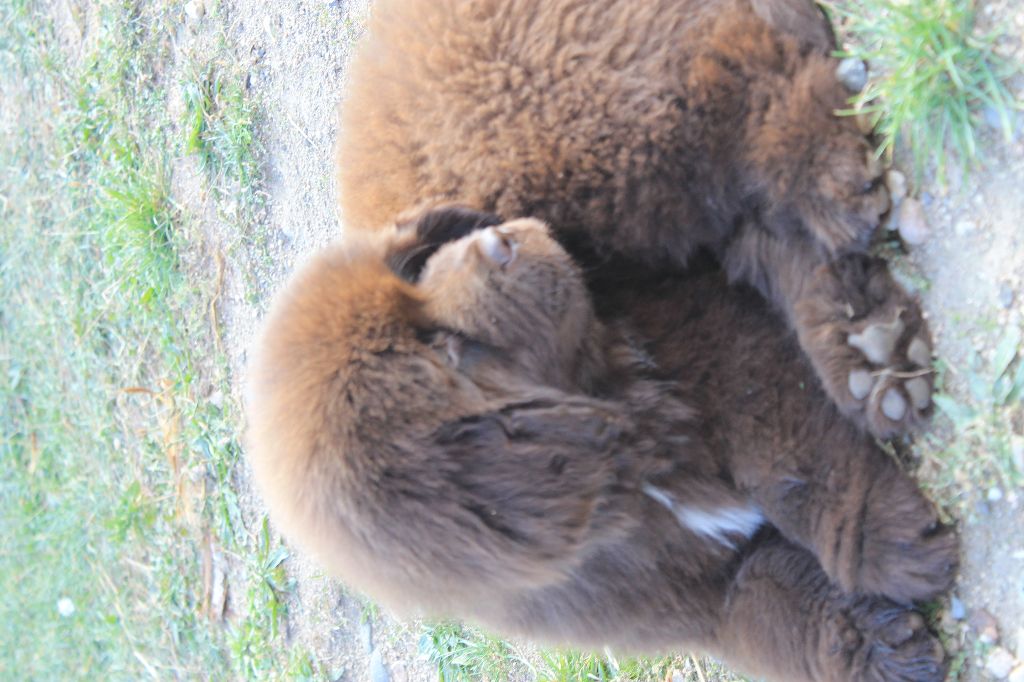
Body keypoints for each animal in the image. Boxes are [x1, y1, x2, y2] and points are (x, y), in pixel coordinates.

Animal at [243, 206, 954, 679]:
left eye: (417, 266)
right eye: (448, 350)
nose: (497, 242)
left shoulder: (717, 346)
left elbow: (790, 460)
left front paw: (882, 538)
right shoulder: (693, 597)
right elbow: (774, 612)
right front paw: (874, 649)